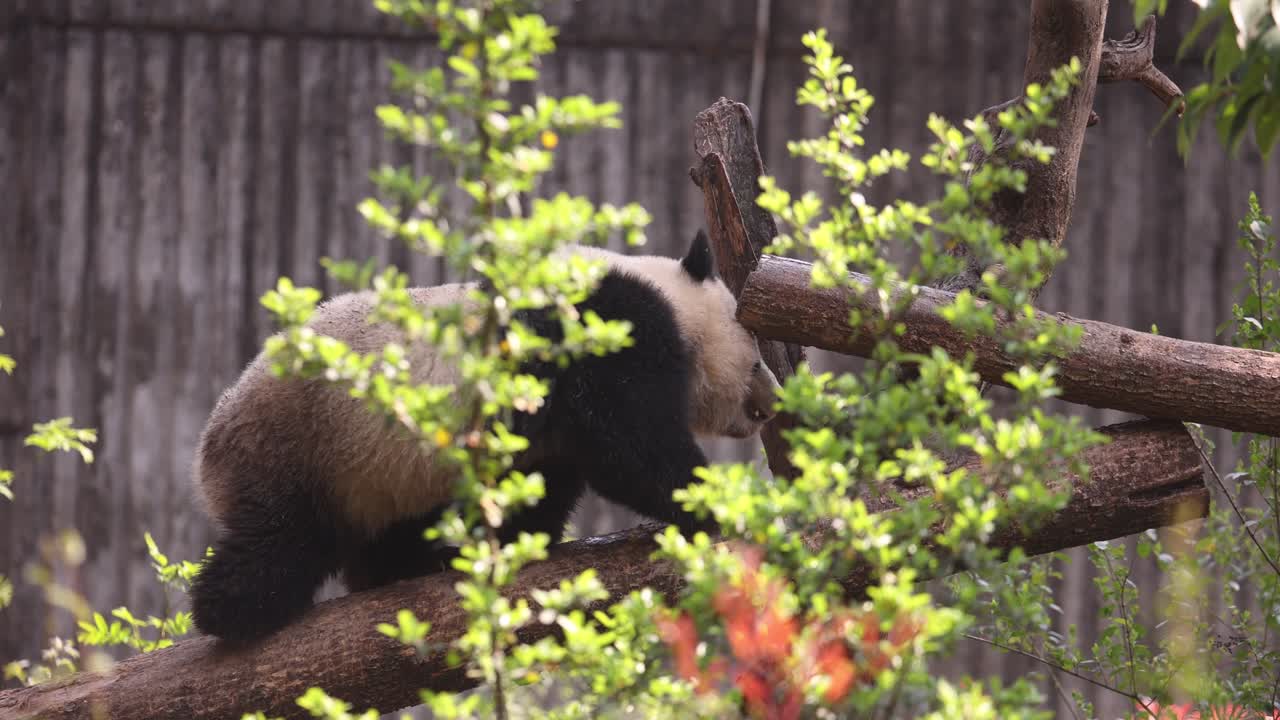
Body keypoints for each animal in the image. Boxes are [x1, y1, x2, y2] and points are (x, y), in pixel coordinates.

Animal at [188, 230, 781, 643]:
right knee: (280, 541)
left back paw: (414, 563)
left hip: (380, 475)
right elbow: (631, 446)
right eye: (756, 359)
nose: (772, 401)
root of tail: (210, 440)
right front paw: (713, 500)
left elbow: (546, 478)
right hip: (299, 446)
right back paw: (234, 612)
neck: (669, 298)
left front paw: (522, 539)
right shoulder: (604, 331)